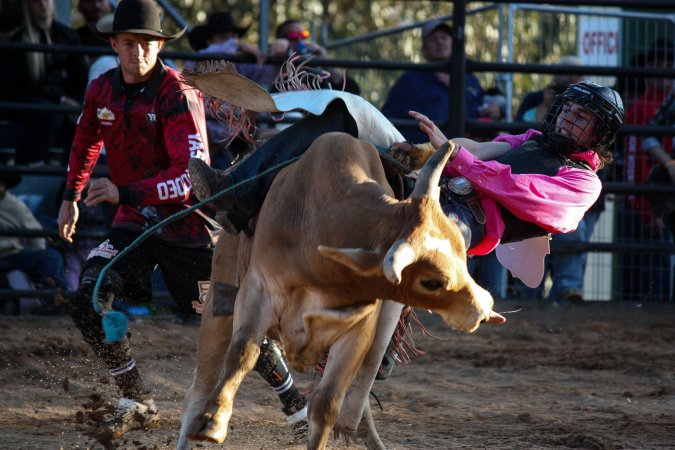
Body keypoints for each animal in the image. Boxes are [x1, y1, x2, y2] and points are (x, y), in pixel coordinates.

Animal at [177, 131, 503, 449]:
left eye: (462, 254)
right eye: (431, 281)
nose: (484, 308)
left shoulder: (359, 330)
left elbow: (327, 403)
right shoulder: (256, 293)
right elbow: (243, 352)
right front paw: (213, 422)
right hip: (218, 300)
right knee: (199, 388)